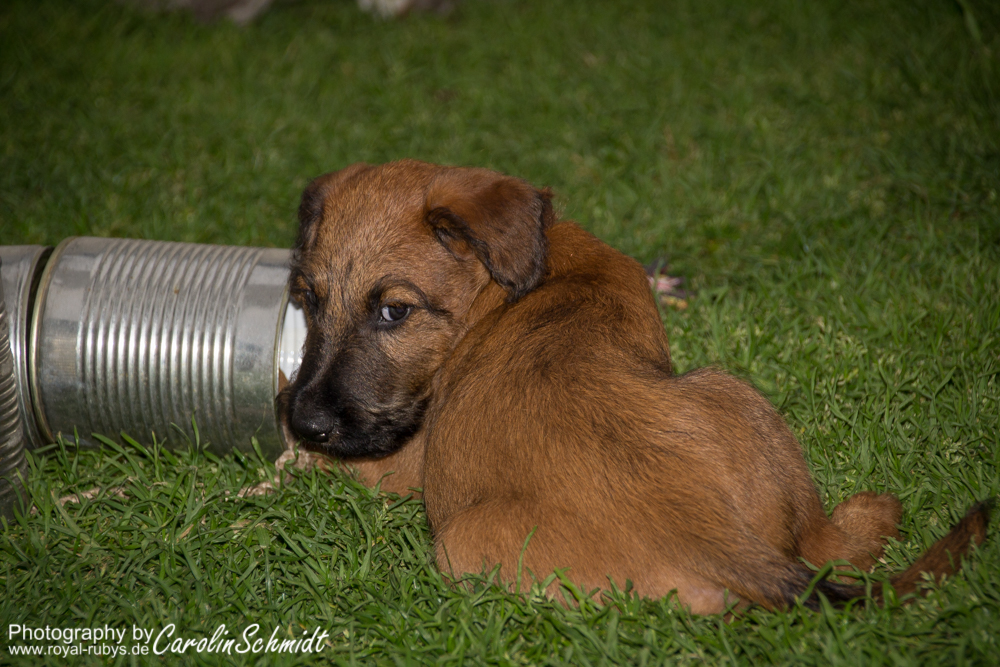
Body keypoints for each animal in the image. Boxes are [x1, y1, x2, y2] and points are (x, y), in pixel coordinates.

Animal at [280, 159, 990, 614]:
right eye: (306, 300)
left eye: (393, 311)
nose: (306, 420)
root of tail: (716, 539)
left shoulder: (400, 463)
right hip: (735, 393)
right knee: (828, 546)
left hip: (457, 545)